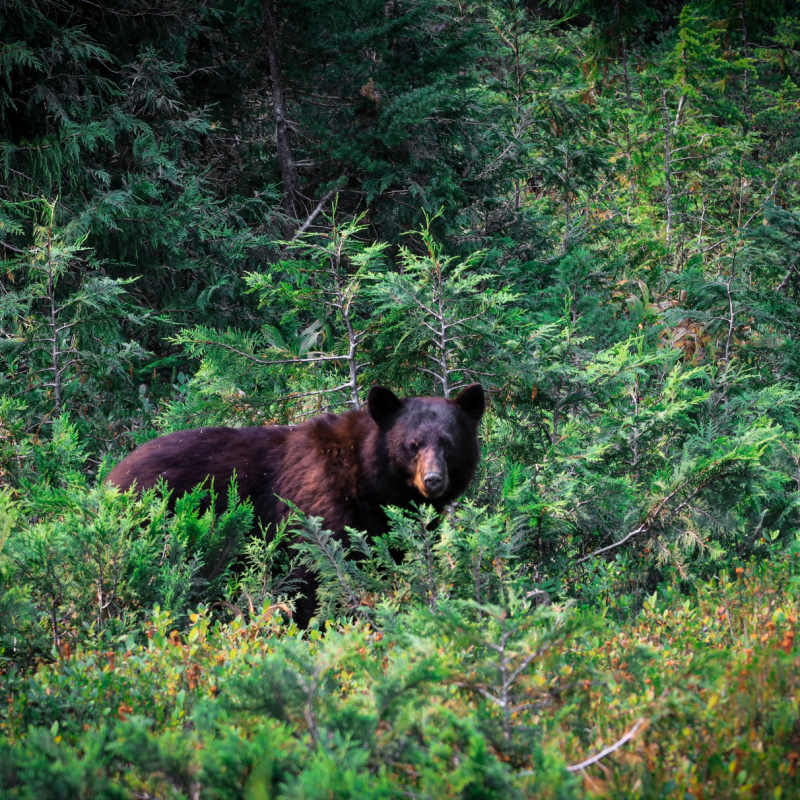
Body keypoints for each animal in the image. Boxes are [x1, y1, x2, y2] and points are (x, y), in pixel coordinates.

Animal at [108, 383, 485, 624]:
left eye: (448, 443)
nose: (433, 480)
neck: (367, 480)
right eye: (412, 444)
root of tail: (111, 479)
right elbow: (313, 574)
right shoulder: (317, 502)